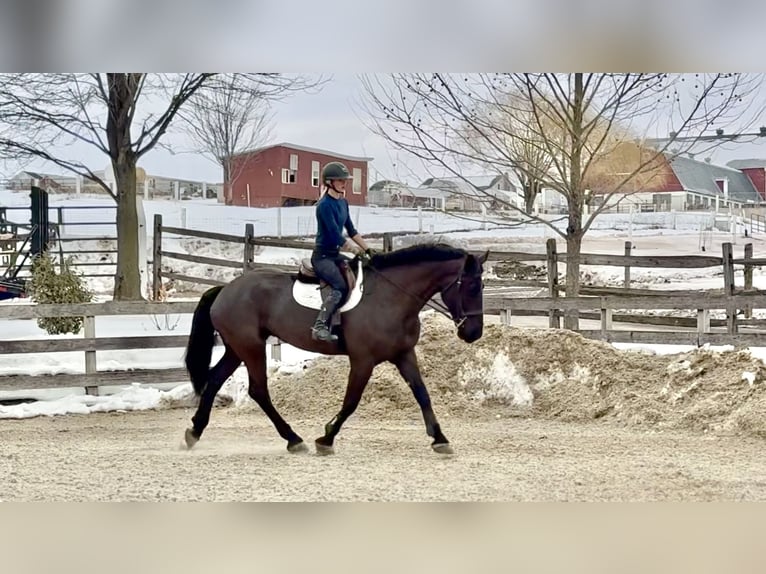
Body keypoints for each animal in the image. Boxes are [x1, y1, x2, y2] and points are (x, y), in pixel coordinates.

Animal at [182, 240, 489, 455]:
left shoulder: (404, 355)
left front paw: (440, 439)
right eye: (472, 286)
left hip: (237, 348)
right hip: (251, 348)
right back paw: (294, 439)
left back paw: (194, 431)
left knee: (214, 380)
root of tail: (224, 289)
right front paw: (326, 437)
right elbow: (351, 401)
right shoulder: (363, 360)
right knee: (258, 390)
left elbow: (422, 394)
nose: (474, 333)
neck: (391, 296)